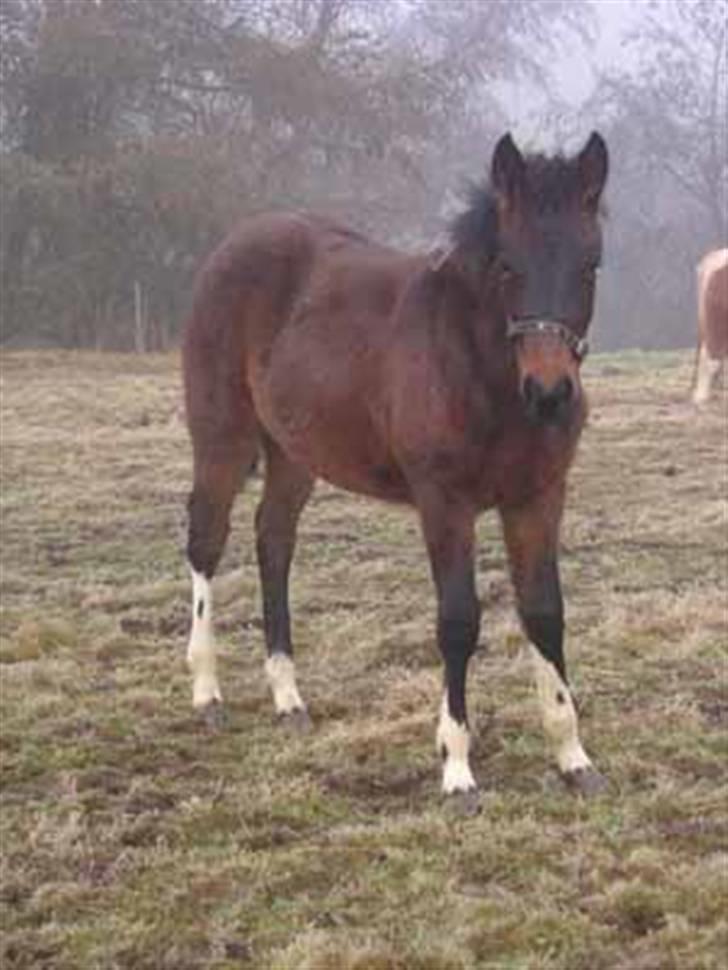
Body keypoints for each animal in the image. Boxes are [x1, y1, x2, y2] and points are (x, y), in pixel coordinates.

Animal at [182, 132, 608, 804]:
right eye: (507, 266)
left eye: (590, 265)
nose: (550, 394)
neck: (481, 372)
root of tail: (234, 243)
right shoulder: (444, 501)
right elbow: (458, 620)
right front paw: (456, 767)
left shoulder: (538, 496)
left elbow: (544, 611)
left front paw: (573, 756)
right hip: (221, 435)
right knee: (207, 539)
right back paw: (207, 690)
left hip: (294, 453)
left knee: (273, 541)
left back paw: (288, 696)